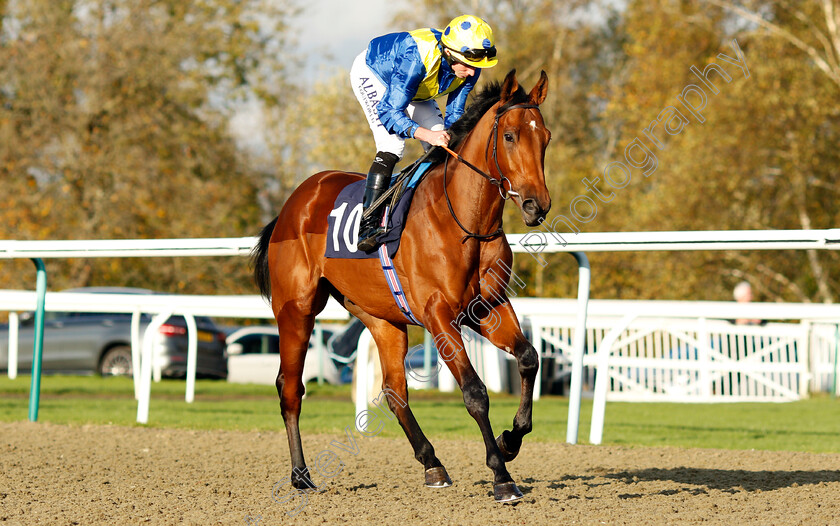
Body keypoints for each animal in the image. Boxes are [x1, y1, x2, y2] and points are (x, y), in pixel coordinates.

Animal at [251, 69, 552, 504]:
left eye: (545, 137)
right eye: (510, 136)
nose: (535, 205)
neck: (466, 222)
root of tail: (294, 202)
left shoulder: (487, 308)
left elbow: (529, 358)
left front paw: (510, 439)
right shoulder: (439, 314)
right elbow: (475, 392)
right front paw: (501, 476)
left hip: (381, 317)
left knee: (394, 391)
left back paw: (432, 463)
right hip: (296, 308)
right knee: (290, 387)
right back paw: (301, 476)